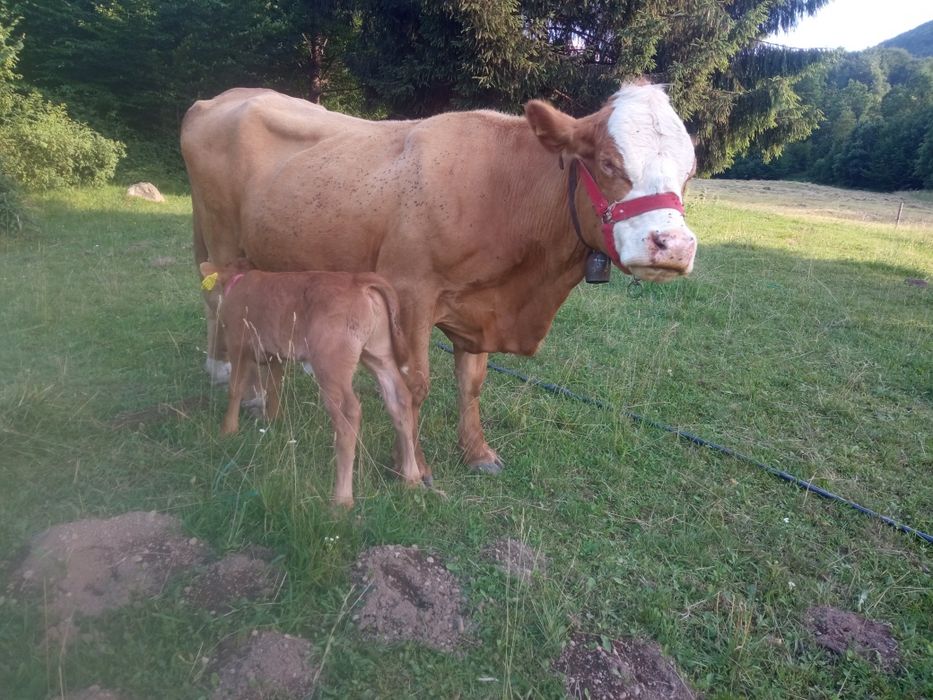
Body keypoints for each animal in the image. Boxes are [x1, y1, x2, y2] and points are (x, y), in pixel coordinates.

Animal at [198, 260, 420, 507]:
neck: (237, 282)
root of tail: (358, 280)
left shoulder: (238, 343)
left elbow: (235, 389)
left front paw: (228, 429)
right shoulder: (274, 354)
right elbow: (274, 386)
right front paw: (272, 420)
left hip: (330, 364)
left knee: (348, 414)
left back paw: (341, 500)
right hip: (379, 353)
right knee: (399, 398)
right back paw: (411, 477)